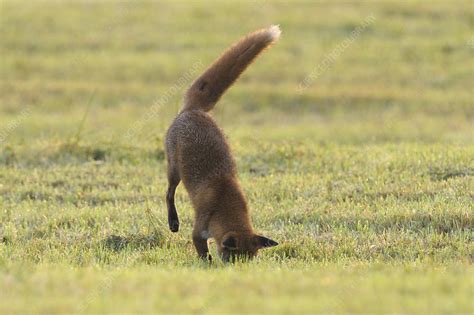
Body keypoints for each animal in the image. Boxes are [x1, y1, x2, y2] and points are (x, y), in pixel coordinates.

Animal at [165, 25, 280, 262]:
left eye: (249, 261)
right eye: (232, 259)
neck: (224, 199)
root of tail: (194, 110)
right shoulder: (199, 231)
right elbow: (204, 255)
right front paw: (207, 265)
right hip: (174, 170)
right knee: (169, 193)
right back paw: (173, 222)